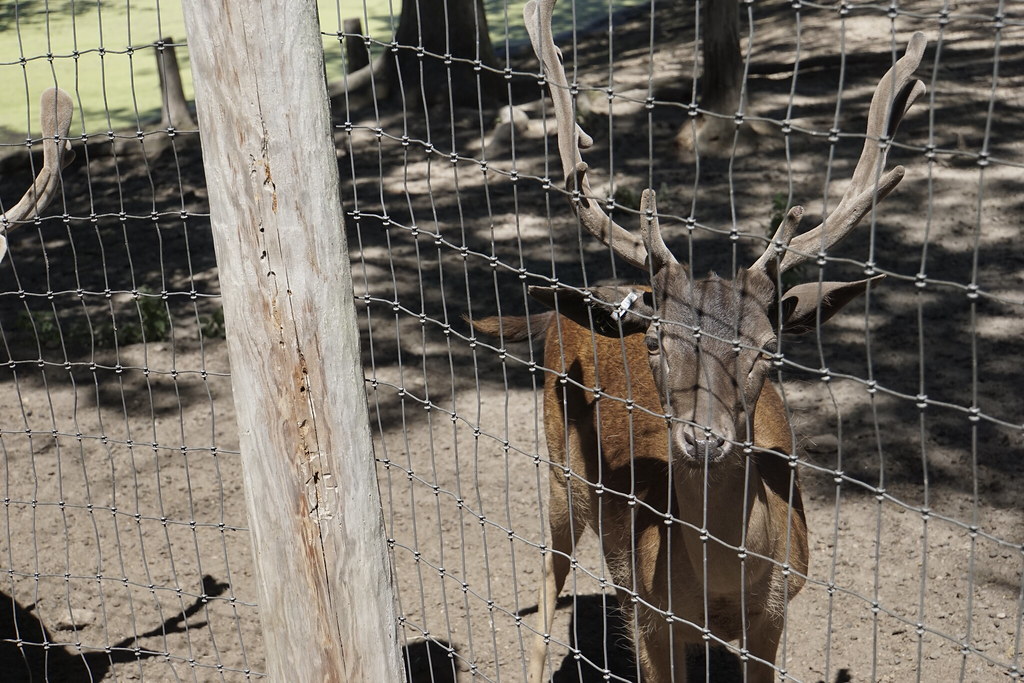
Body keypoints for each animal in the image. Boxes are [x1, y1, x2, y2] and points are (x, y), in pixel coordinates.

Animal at [471, 2, 926, 680]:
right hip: (560, 475)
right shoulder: (649, 615)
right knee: (548, 580)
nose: (703, 438)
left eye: (767, 347)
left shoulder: (775, 615)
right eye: (656, 342)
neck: (720, 588)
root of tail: (564, 313)